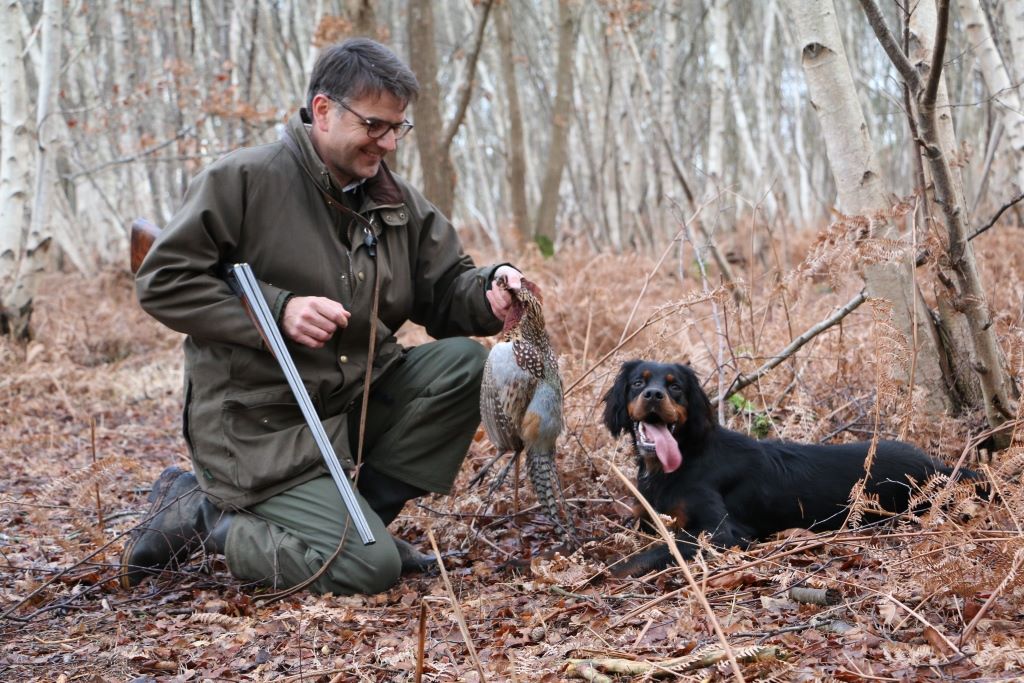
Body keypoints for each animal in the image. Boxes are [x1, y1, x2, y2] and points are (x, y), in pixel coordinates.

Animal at [602, 360, 978, 573]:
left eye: (676, 386)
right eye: (638, 382)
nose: (653, 395)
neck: (682, 459)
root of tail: (935, 464)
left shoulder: (723, 533)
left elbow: (644, 556)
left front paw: (603, 575)